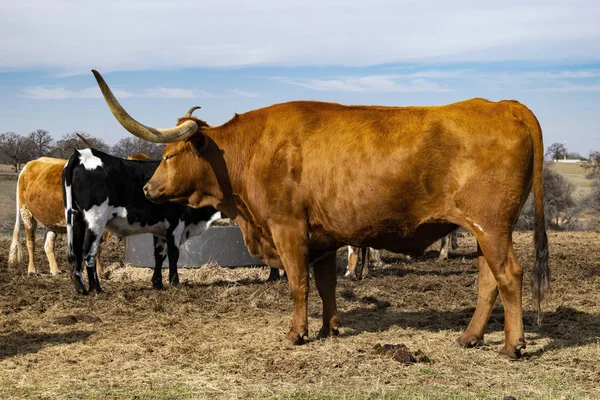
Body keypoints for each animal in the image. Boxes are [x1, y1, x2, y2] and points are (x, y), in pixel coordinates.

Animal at [62, 148, 220, 294]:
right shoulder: (176, 223)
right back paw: (96, 288)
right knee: (89, 251)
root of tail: (81, 154)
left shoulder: (160, 228)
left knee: (76, 250)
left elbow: (159, 254)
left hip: (76, 217)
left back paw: (80, 287)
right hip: (96, 219)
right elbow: (174, 253)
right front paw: (175, 282)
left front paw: (158, 283)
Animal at [92, 69, 548, 360]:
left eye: (170, 155)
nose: (148, 189)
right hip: (485, 230)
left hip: (492, 227)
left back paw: (513, 346)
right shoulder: (325, 237)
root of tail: (505, 105)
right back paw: (470, 338)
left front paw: (297, 333)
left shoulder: (288, 228)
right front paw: (329, 328)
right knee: (489, 280)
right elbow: (327, 284)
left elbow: (299, 284)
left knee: (509, 275)